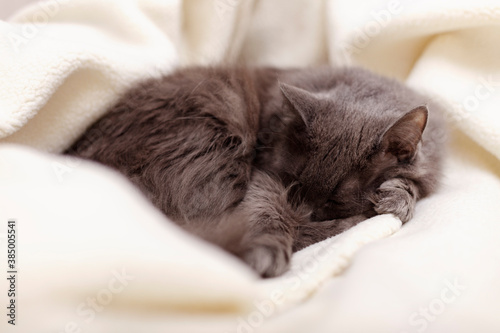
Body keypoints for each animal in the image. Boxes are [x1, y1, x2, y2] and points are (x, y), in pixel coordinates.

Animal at [65, 66, 446, 276]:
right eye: (294, 184)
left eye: (334, 200)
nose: (304, 210)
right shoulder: (265, 175)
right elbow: (266, 209)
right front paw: (265, 252)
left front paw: (397, 195)